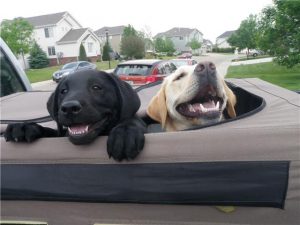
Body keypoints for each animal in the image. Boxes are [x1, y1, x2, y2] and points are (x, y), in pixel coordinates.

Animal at [3, 69, 146, 161]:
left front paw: (125, 133)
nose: (69, 108)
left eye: (96, 87)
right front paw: (24, 127)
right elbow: (51, 132)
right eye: (63, 91)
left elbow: (133, 121)